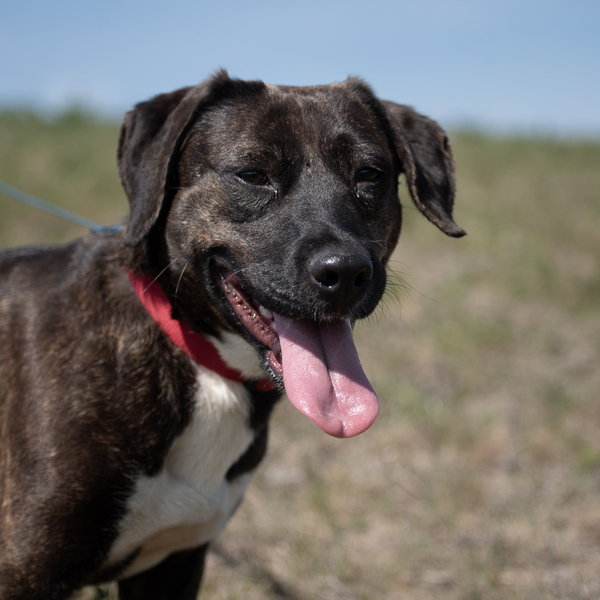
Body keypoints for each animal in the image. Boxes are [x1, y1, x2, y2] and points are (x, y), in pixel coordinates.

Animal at [0, 70, 464, 599]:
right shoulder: (24, 571)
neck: (198, 361)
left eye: (369, 174)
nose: (345, 272)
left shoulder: (174, 563)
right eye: (253, 174)